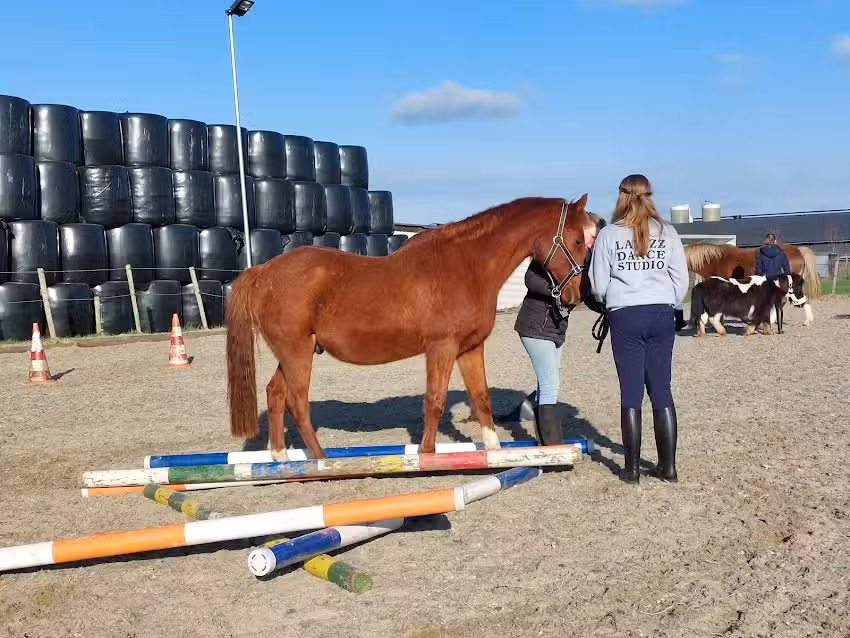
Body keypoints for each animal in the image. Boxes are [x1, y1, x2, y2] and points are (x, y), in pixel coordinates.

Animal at [225, 195, 599, 460]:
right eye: (577, 241)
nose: (576, 295)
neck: (467, 265)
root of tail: (263, 271)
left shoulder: (469, 348)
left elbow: (481, 398)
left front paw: (493, 452)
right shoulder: (441, 347)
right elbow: (434, 400)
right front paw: (427, 454)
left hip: (293, 353)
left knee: (275, 393)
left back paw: (280, 456)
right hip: (297, 353)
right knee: (298, 402)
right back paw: (322, 461)